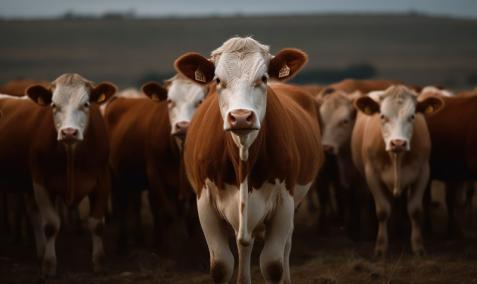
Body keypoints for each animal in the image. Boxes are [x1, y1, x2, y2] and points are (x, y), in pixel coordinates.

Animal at [0, 73, 116, 276]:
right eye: (53, 105)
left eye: (86, 104)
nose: (69, 132)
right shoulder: (40, 181)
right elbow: (50, 225)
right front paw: (49, 265)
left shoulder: (103, 180)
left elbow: (97, 224)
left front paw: (99, 264)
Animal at [103, 74, 207, 248]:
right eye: (169, 101)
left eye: (200, 101)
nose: (183, 126)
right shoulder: (154, 174)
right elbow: (166, 213)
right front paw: (161, 245)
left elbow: (192, 218)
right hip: (115, 176)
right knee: (122, 206)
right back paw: (122, 242)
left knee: (136, 205)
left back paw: (139, 237)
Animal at [176, 36, 324, 282]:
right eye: (218, 79)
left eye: (263, 78)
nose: (241, 117)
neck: (243, 161)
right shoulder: (205, 203)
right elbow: (221, 265)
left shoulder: (284, 202)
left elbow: (273, 265)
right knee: (245, 245)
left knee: (284, 246)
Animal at [350, 85, 442, 256]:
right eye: (382, 116)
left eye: (412, 116)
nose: (398, 143)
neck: (396, 158)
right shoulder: (372, 175)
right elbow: (383, 210)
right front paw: (381, 247)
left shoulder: (423, 172)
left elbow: (415, 210)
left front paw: (418, 246)